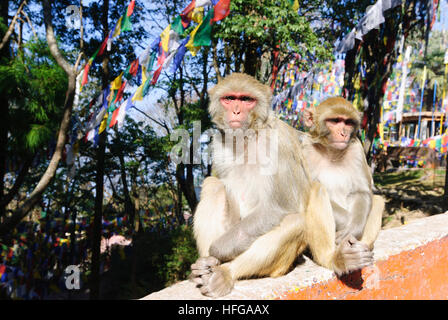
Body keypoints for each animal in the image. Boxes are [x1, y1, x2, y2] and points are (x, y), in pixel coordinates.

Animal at [300, 97, 384, 276]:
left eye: (348, 122)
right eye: (335, 121)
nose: (344, 133)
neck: (332, 152)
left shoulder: (356, 148)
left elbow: (361, 192)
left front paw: (352, 229)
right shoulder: (305, 152)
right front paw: (346, 225)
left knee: (378, 201)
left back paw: (360, 252)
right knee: (316, 190)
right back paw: (336, 259)